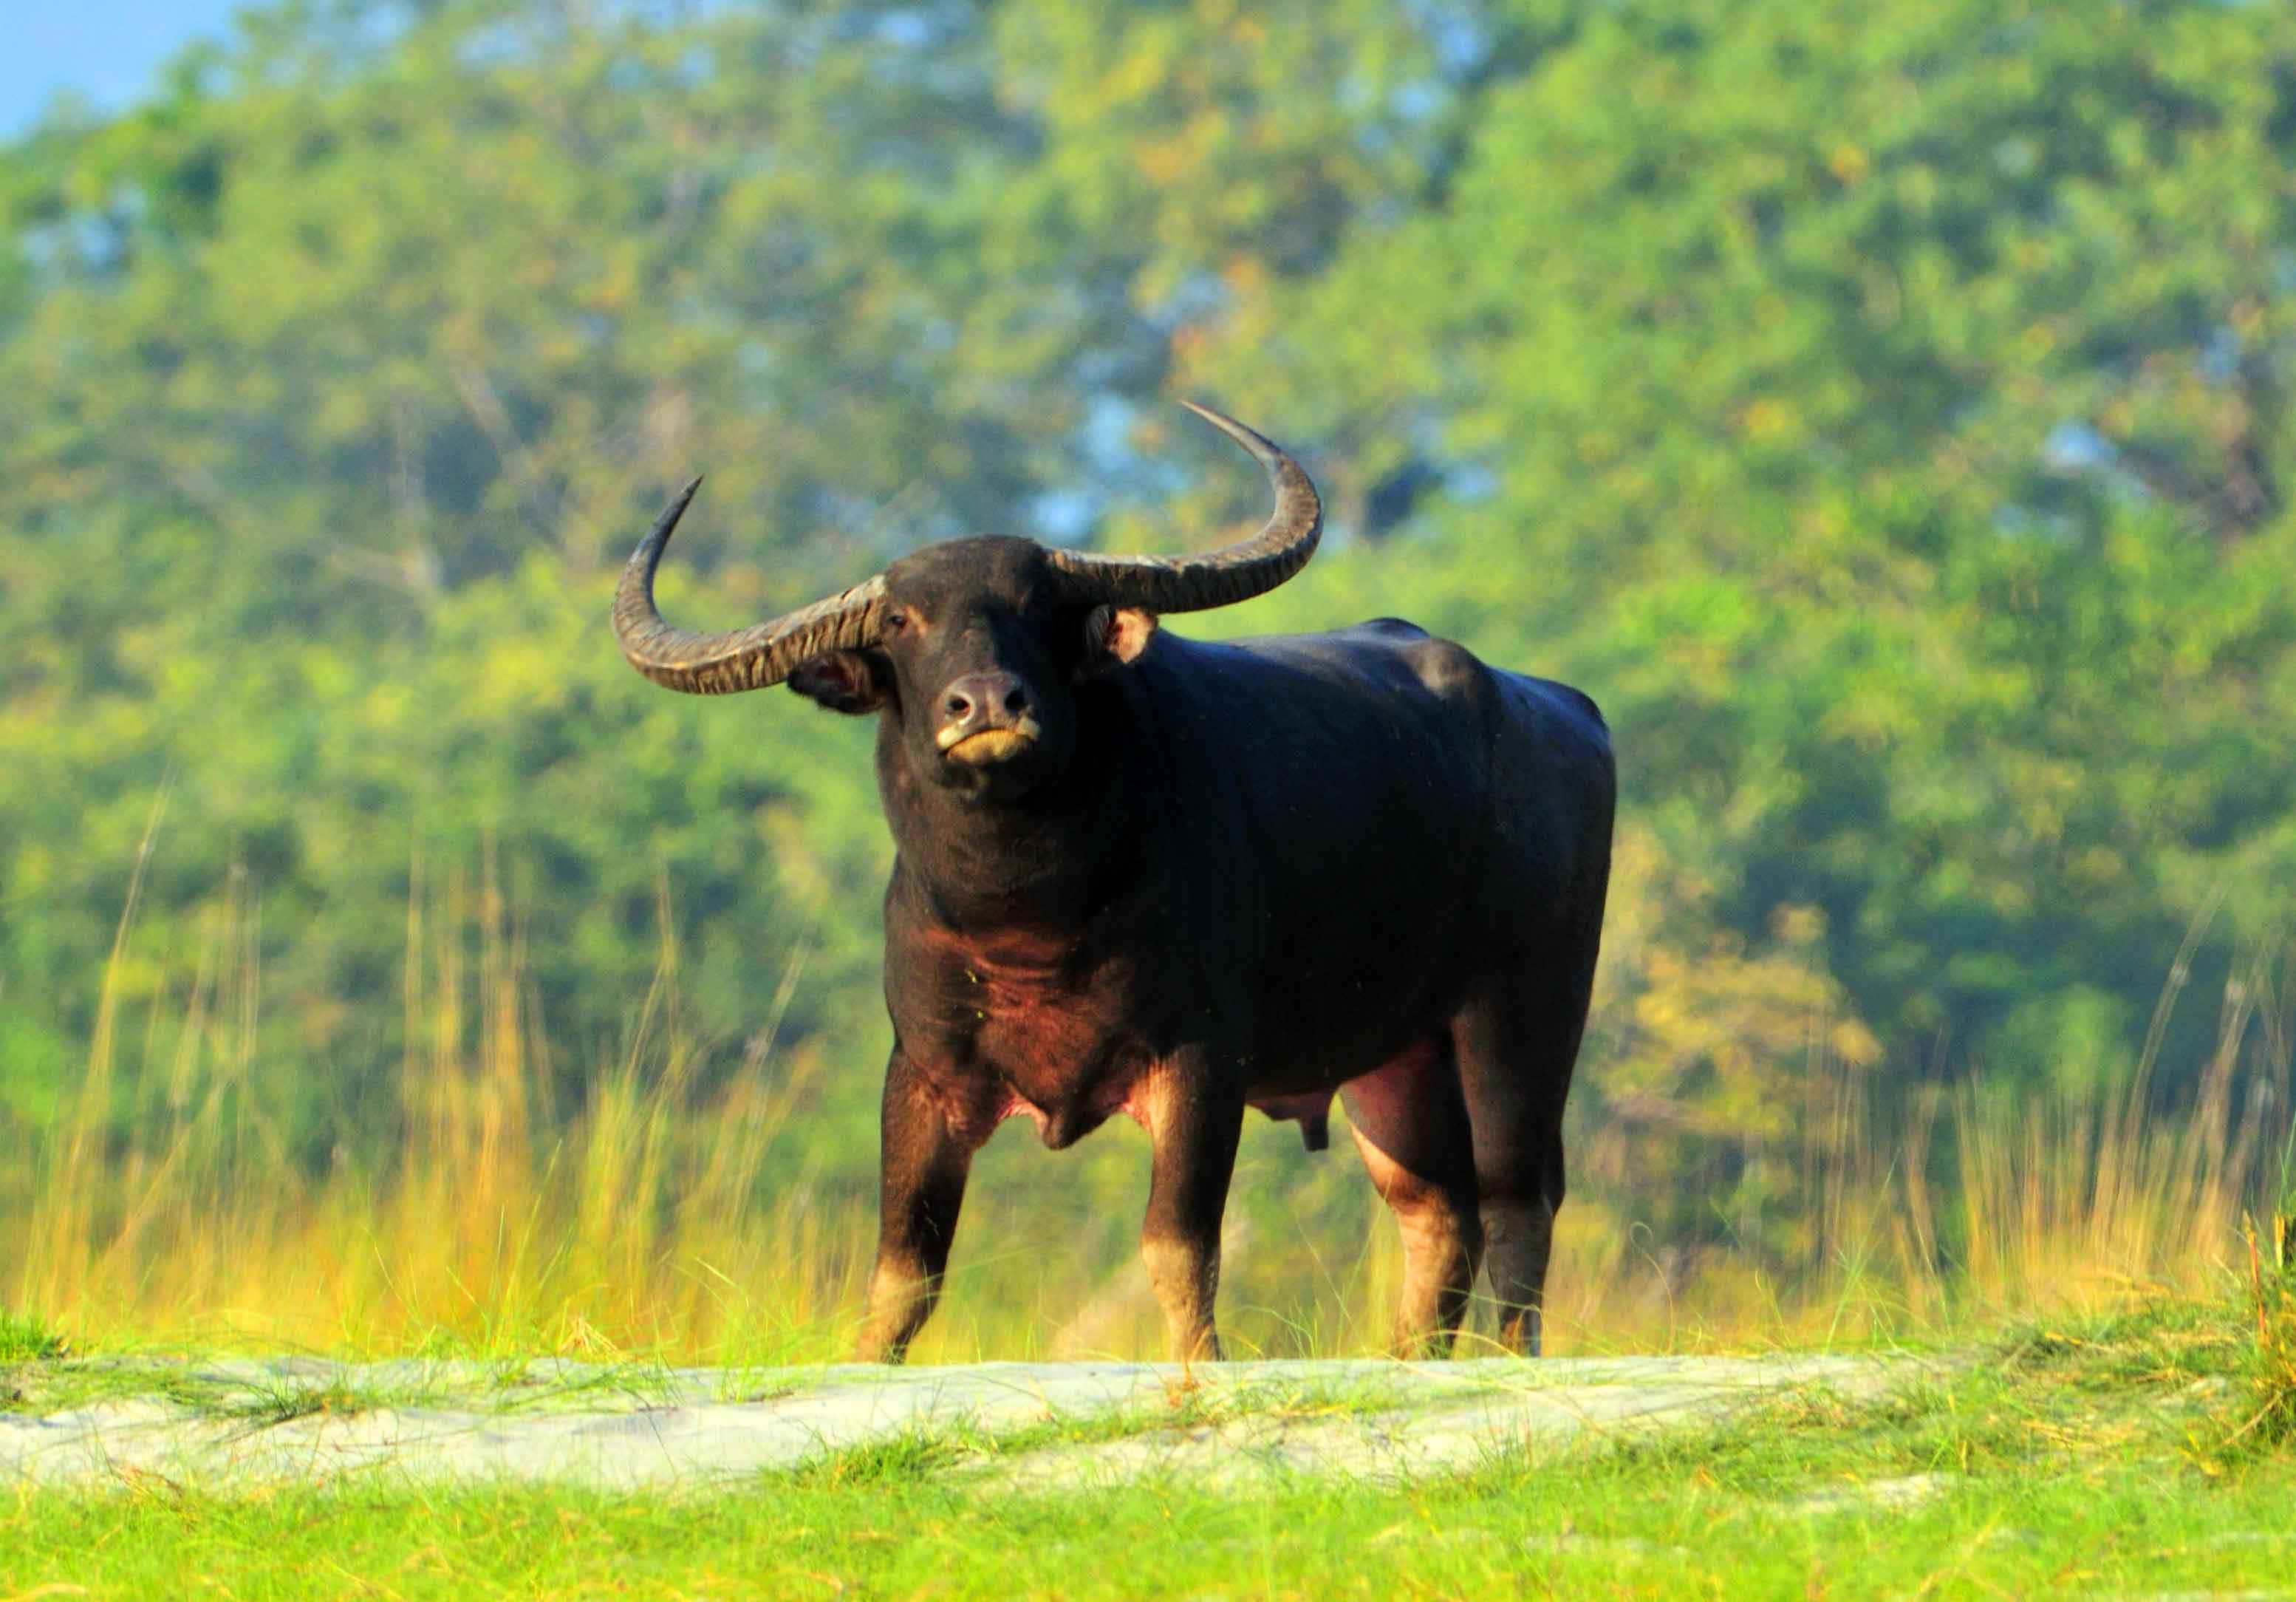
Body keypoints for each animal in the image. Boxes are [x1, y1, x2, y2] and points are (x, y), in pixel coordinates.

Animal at [613, 403, 1613, 1360]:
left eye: (1037, 605)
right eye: (901, 621)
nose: (987, 703)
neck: (1029, 914)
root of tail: (1562, 709)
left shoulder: (1200, 1059)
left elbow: (1176, 1246)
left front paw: (1199, 1362)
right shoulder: (924, 1071)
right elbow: (904, 1272)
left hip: (1522, 1015)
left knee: (1518, 1199)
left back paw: (1509, 1352)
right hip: (1395, 1064)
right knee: (1437, 1213)